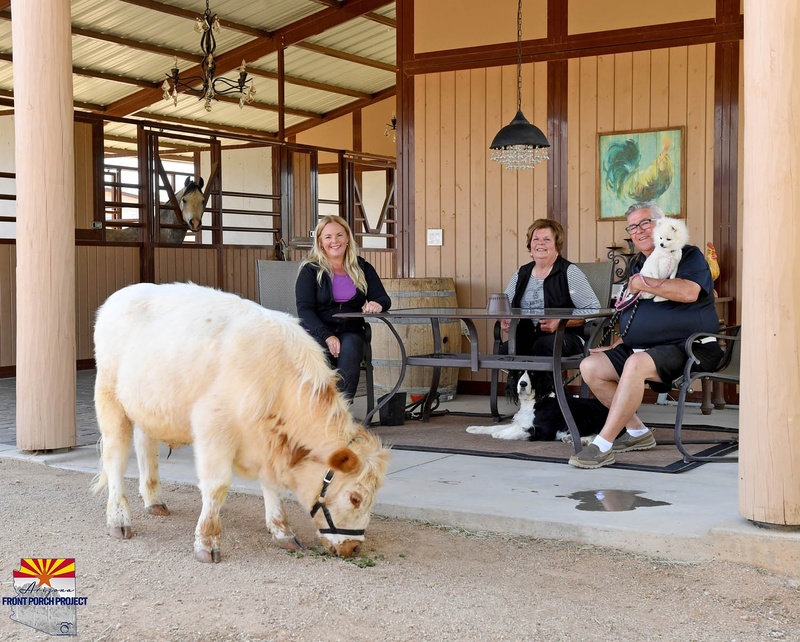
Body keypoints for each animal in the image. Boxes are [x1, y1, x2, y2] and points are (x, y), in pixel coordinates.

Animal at [91, 282, 390, 562]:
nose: (353, 548)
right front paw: (207, 541)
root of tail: (121, 296)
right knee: (116, 458)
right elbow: (217, 484)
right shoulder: (214, 427)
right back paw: (119, 519)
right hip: (109, 399)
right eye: (355, 498)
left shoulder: (267, 442)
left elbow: (272, 485)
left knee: (146, 448)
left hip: (148, 407)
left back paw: (154, 501)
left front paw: (282, 531)